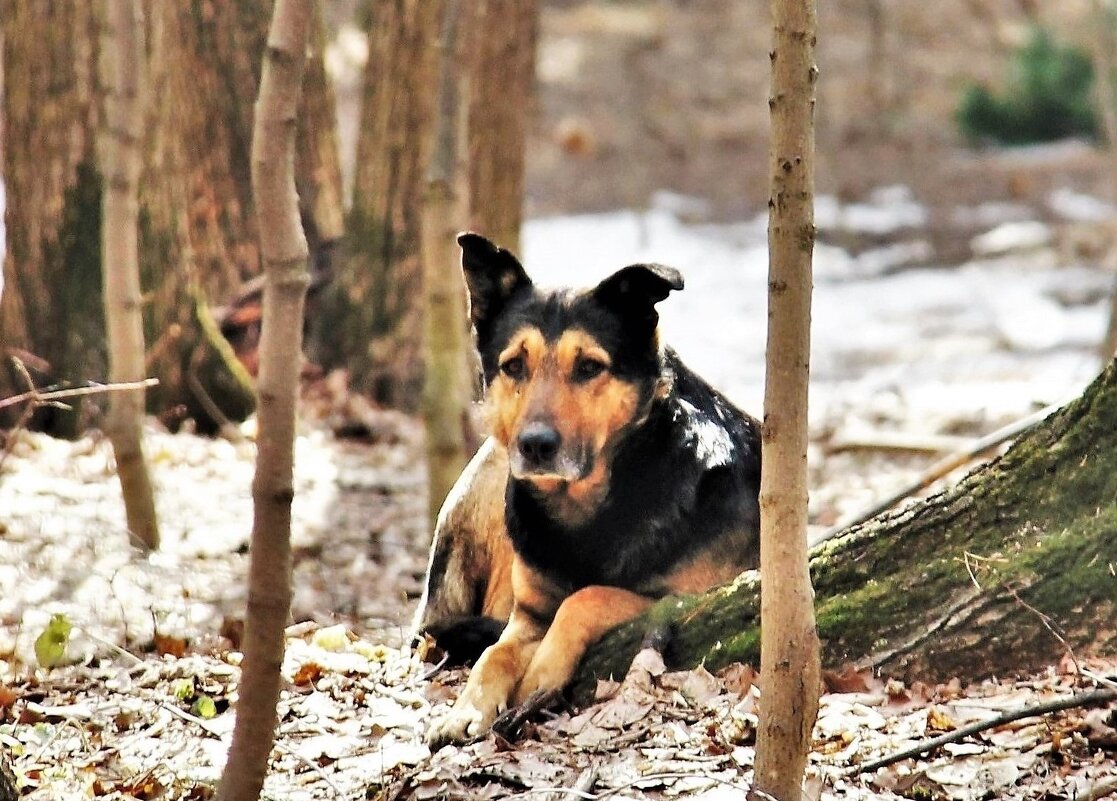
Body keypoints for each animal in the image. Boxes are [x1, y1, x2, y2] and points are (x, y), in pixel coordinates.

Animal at [415, 234, 764, 746]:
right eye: (514, 366)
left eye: (588, 367)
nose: (535, 445)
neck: (586, 509)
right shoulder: (528, 616)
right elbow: (495, 653)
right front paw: (467, 708)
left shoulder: (695, 596)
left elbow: (587, 596)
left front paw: (541, 673)